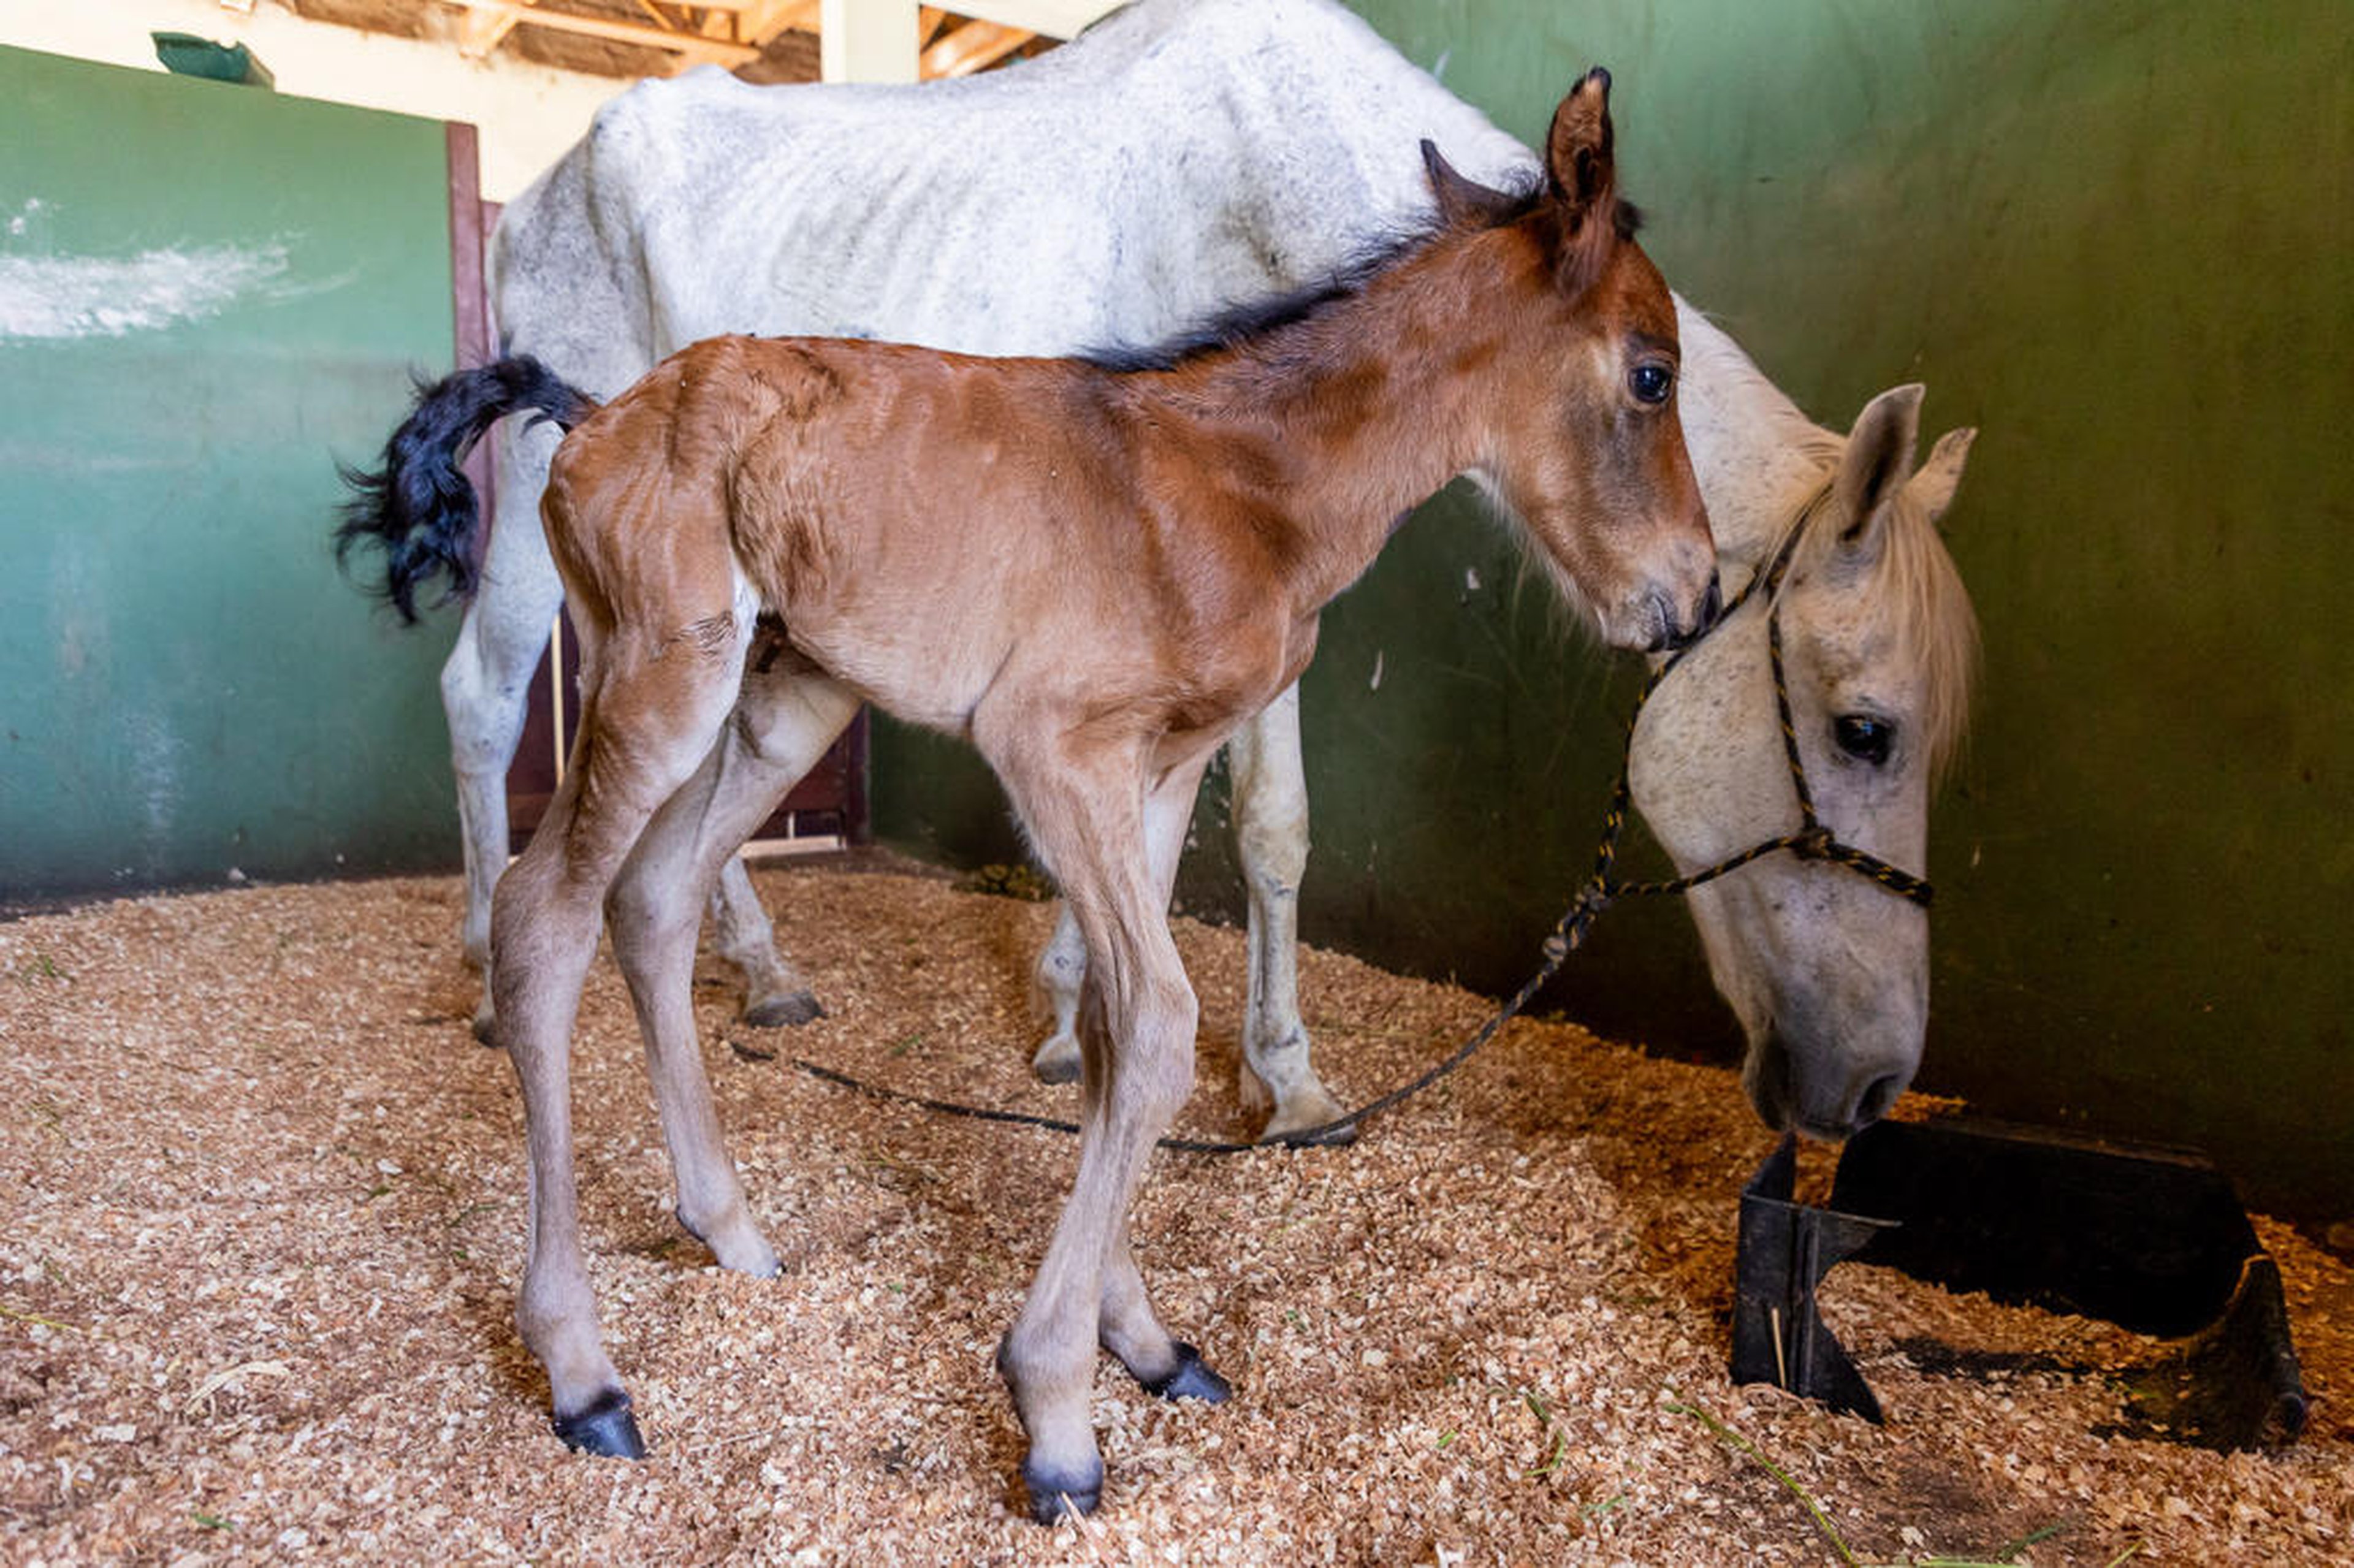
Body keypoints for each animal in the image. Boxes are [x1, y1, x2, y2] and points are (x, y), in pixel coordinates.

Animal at [341, 70, 1713, 1516]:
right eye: (1651, 372)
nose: (1693, 594)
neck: (1245, 481)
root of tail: (591, 412)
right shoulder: (1052, 747)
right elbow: (1158, 1026)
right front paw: (1055, 1405)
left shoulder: (1160, 767)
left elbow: (1115, 1034)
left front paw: (1143, 1339)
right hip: (659, 677)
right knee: (544, 918)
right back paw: (583, 1372)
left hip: (778, 703)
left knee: (652, 899)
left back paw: (732, 1231)